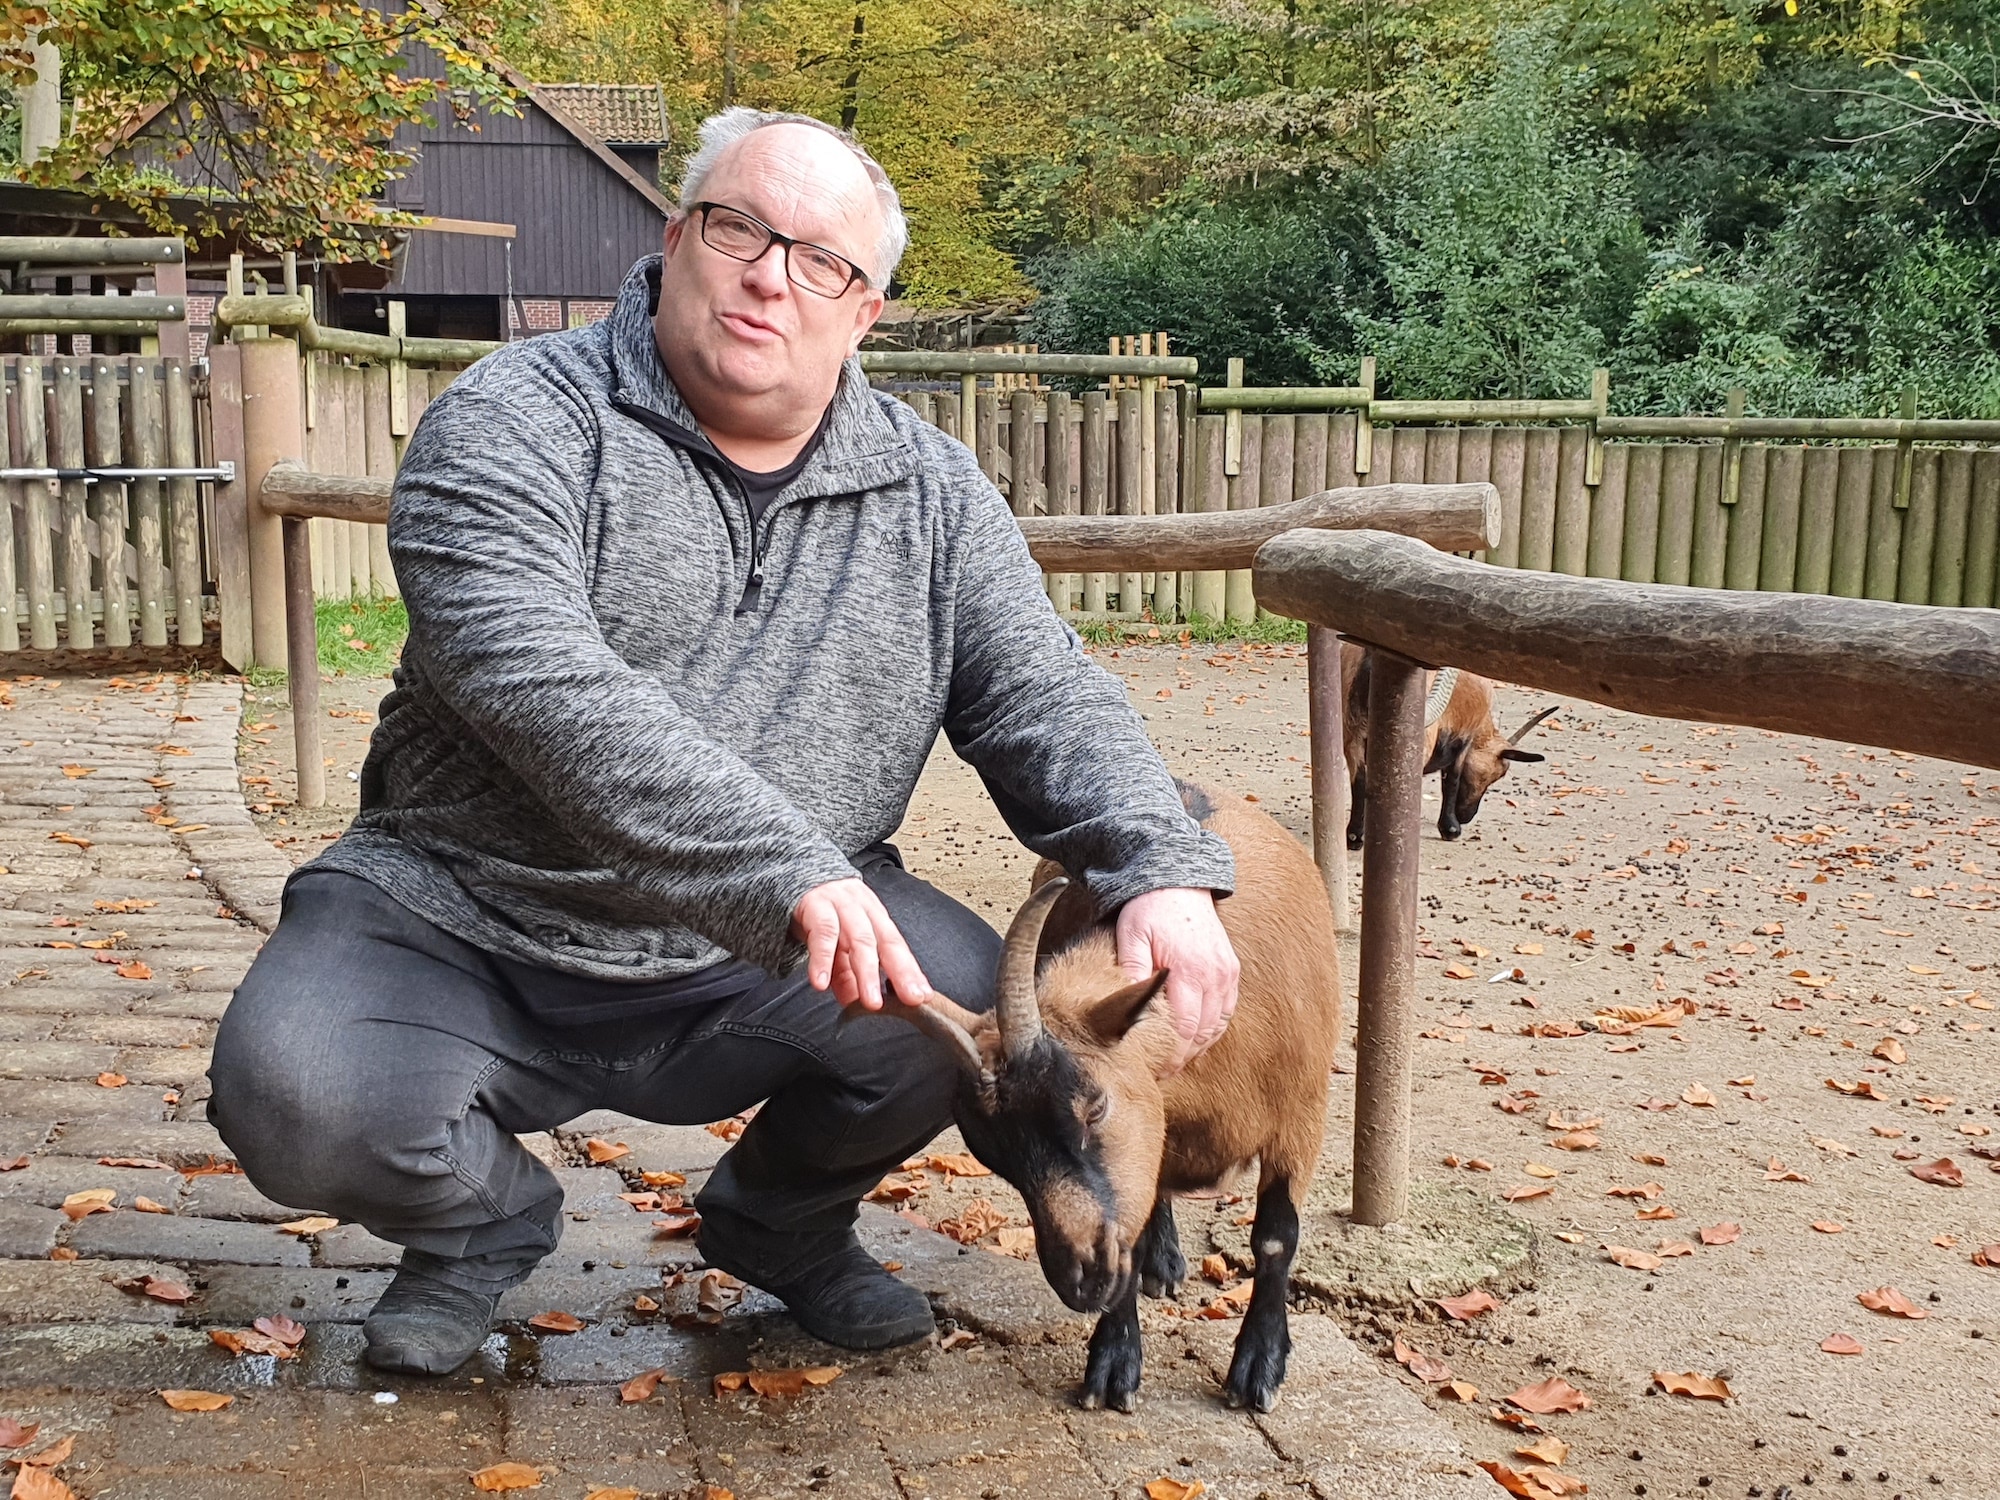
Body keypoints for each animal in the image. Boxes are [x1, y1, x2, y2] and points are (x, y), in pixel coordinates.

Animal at [900, 788, 1336, 1424]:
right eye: (998, 1160)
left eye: (1095, 1107)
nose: (1080, 1282)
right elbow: (1133, 1228)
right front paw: (1113, 1363)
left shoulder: (1299, 1118)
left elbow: (1276, 1237)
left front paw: (1259, 1366)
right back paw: (1162, 1263)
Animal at [1344, 644, 1560, 852]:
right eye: (1497, 774)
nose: (1466, 815)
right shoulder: (1464, 738)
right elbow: (1452, 779)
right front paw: (1451, 829)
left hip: (1354, 732)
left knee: (1360, 779)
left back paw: (1355, 836)